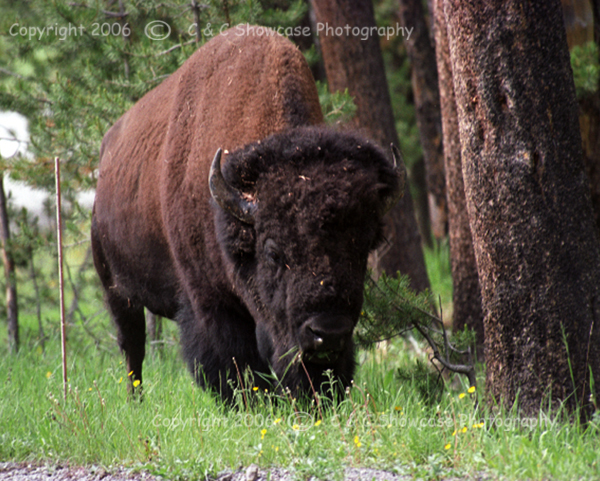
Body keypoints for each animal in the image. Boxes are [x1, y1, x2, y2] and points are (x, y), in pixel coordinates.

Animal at [92, 25, 404, 398]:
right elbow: (235, 363)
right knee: (132, 348)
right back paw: (135, 399)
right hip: (116, 290)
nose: (327, 333)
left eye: (362, 249)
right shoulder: (211, 303)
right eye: (272, 252)